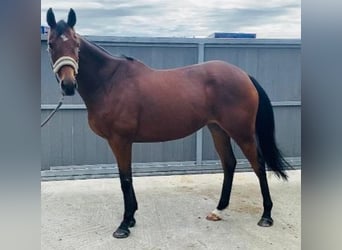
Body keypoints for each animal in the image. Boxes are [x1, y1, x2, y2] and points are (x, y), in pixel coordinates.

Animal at [45, 7, 292, 238]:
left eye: (76, 44)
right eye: (50, 44)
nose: (68, 85)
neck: (110, 82)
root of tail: (244, 75)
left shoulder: (120, 141)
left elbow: (125, 179)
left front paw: (124, 224)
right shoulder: (122, 142)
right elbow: (128, 178)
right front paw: (131, 218)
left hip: (242, 132)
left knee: (258, 165)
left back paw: (266, 215)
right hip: (218, 129)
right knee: (229, 163)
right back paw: (219, 210)